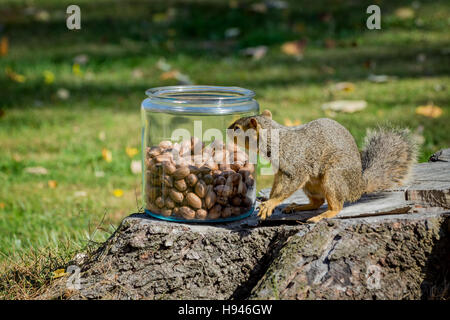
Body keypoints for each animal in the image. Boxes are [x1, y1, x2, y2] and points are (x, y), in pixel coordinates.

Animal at [229, 110, 418, 222]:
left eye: (237, 128)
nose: (226, 130)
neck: (275, 139)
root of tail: (358, 186)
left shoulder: (296, 166)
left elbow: (287, 186)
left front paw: (270, 203)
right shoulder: (281, 171)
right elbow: (277, 187)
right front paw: (269, 201)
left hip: (333, 177)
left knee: (336, 206)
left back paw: (323, 215)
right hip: (311, 185)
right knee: (318, 201)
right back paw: (298, 206)